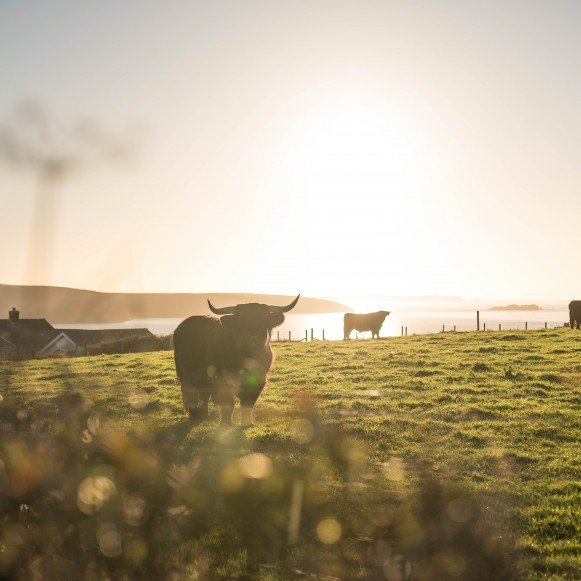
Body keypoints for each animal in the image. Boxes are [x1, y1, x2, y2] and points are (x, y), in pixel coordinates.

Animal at [172, 294, 300, 426]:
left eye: (264, 320)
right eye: (240, 321)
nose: (253, 338)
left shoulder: (259, 379)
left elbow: (248, 403)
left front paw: (247, 423)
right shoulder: (221, 379)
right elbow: (228, 403)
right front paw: (226, 423)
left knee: (204, 394)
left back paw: (203, 415)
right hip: (184, 375)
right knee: (191, 394)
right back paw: (195, 416)